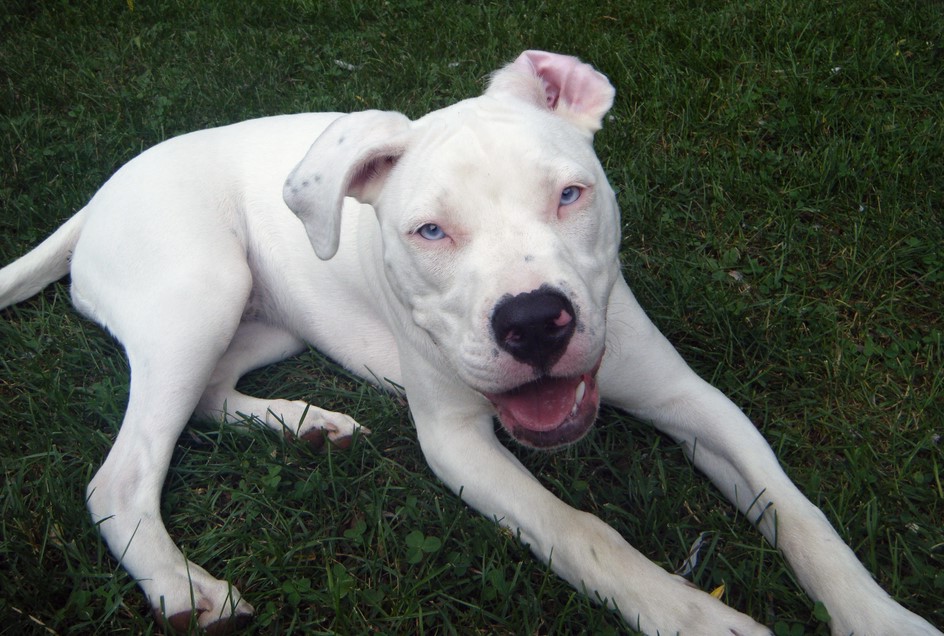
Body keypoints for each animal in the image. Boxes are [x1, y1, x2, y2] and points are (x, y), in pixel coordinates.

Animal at [0, 51, 940, 636]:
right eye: (429, 231)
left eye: (571, 194)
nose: (533, 321)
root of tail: (101, 193)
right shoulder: (459, 445)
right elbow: (582, 532)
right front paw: (693, 614)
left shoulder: (695, 402)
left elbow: (801, 515)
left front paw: (883, 616)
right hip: (199, 294)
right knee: (122, 474)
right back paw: (186, 586)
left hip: (257, 318)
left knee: (204, 395)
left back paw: (305, 425)